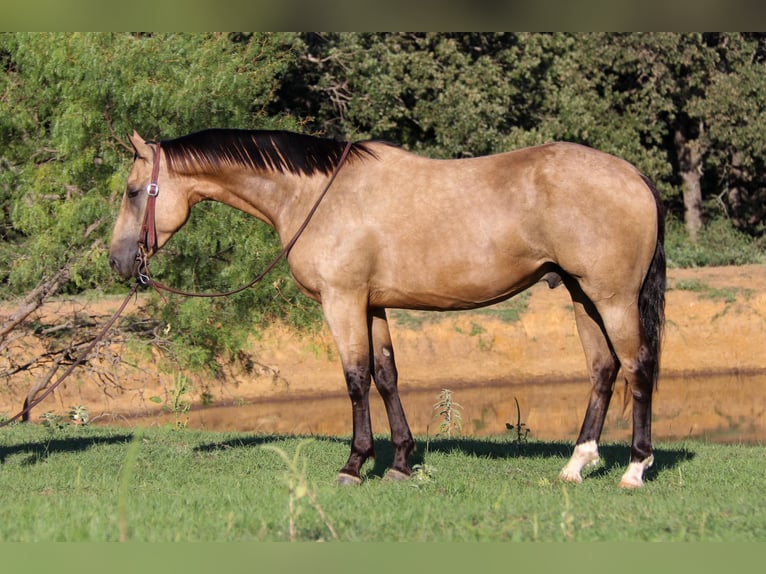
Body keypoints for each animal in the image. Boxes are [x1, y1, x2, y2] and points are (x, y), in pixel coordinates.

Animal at [108, 129, 664, 490]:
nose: (117, 261)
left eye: (134, 192)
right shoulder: (372, 305)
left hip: (612, 298)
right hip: (582, 296)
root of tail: (633, 173)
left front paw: (354, 465)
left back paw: (635, 469)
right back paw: (577, 465)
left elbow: (356, 378)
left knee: (637, 368)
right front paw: (399, 463)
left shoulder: (343, 300)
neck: (317, 195)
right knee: (603, 369)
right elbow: (386, 375)